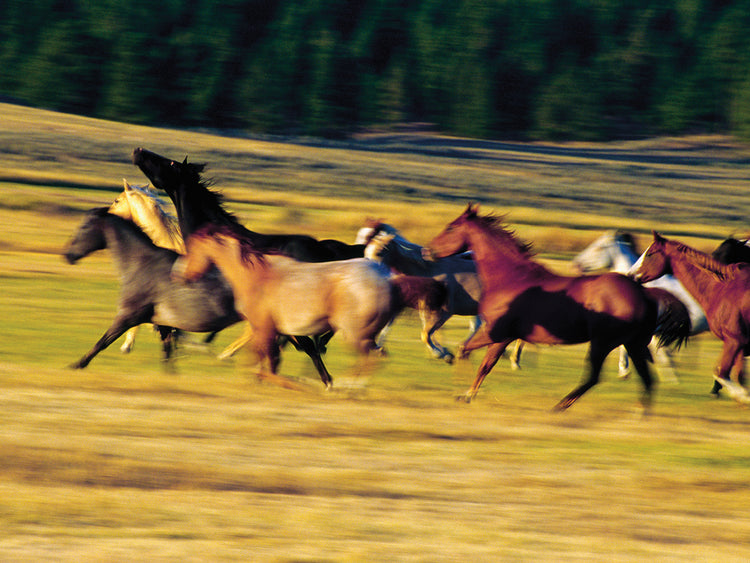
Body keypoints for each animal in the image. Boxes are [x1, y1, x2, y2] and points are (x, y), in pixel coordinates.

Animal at [63, 208, 333, 387]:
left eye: (83, 227)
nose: (68, 255)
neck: (141, 264)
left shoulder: (128, 315)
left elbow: (103, 341)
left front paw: (76, 364)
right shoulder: (163, 322)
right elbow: (167, 351)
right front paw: (171, 377)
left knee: (306, 347)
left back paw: (323, 380)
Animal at [173, 222, 403, 389]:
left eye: (192, 248)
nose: (180, 274)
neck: (256, 276)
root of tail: (385, 278)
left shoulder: (265, 329)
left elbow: (269, 365)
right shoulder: (274, 330)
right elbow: (267, 361)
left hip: (354, 334)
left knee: (371, 358)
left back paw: (346, 386)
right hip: (361, 334)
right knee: (377, 356)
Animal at [426, 204, 687, 411]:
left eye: (451, 228)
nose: (427, 250)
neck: (512, 279)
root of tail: (644, 293)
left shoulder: (496, 333)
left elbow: (473, 357)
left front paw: (464, 393)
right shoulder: (503, 336)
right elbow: (472, 356)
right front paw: (463, 391)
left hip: (603, 342)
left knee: (594, 377)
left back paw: (560, 406)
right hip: (632, 344)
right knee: (646, 379)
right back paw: (640, 413)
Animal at [632, 232, 750, 404]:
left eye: (650, 254)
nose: (630, 274)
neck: (721, 289)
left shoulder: (735, 340)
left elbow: (721, 373)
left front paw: (741, 396)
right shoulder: (737, 343)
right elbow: (734, 374)